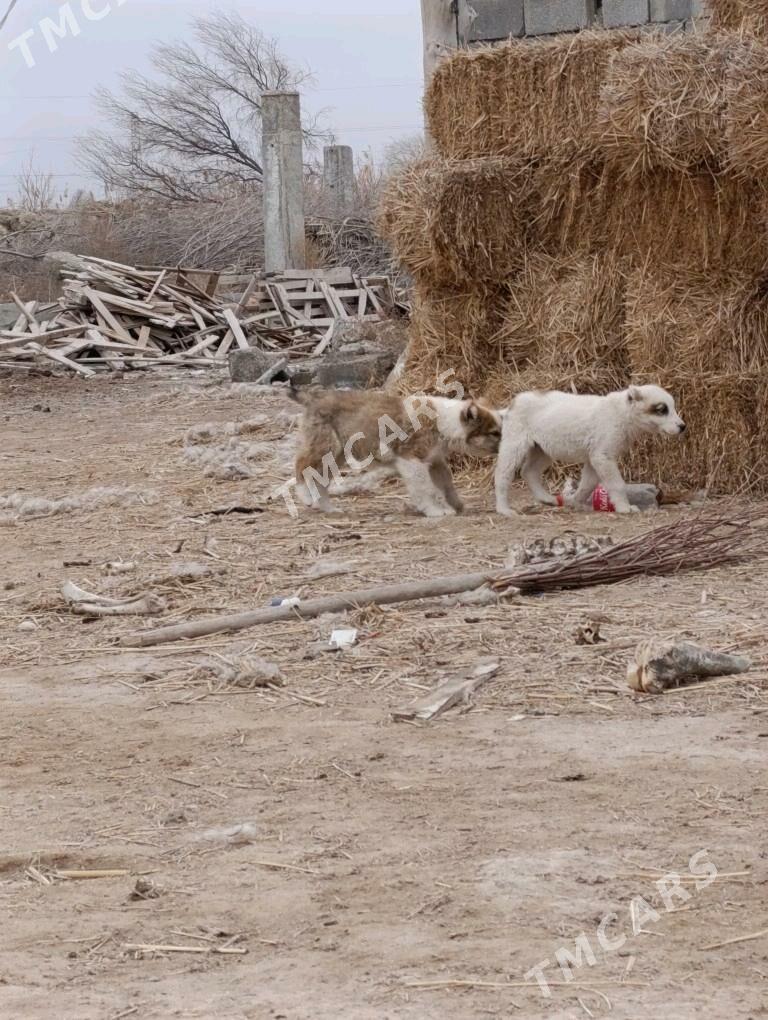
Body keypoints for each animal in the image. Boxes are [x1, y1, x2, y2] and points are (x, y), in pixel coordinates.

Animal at [289, 387, 499, 522]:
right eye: (494, 433)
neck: (444, 422)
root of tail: (312, 397)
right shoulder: (411, 460)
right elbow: (425, 489)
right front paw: (435, 511)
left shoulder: (434, 461)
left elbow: (446, 485)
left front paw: (456, 505)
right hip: (326, 446)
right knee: (301, 465)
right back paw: (305, 497)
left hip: (336, 455)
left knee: (320, 480)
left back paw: (329, 508)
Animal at [493, 383, 685, 514]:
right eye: (662, 410)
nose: (683, 427)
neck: (621, 413)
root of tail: (511, 405)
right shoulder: (603, 457)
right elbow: (617, 484)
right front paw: (624, 507)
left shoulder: (594, 458)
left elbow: (587, 484)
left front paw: (575, 502)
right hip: (514, 445)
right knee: (503, 475)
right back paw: (504, 509)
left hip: (543, 449)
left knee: (529, 472)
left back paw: (547, 499)